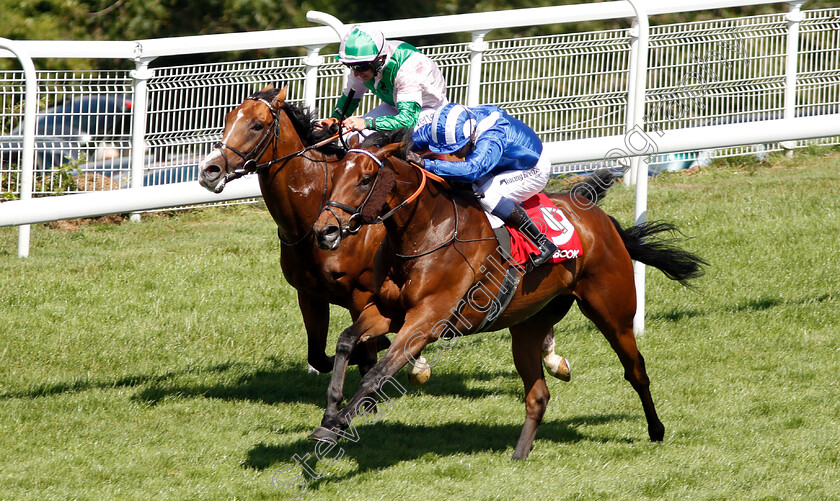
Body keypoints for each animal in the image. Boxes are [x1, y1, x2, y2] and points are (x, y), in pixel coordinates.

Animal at [194, 86, 576, 380]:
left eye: (257, 125)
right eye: (227, 120)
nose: (209, 170)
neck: (313, 213)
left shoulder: (362, 293)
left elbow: (368, 351)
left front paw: (406, 364)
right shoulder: (310, 294)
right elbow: (320, 354)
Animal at [308, 139, 708, 458]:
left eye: (364, 179)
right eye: (335, 174)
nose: (324, 231)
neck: (424, 232)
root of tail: (602, 219)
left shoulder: (426, 321)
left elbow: (377, 373)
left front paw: (336, 427)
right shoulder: (388, 311)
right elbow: (346, 341)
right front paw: (329, 414)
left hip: (613, 312)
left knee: (635, 370)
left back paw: (656, 430)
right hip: (529, 325)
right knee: (538, 394)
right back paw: (519, 454)